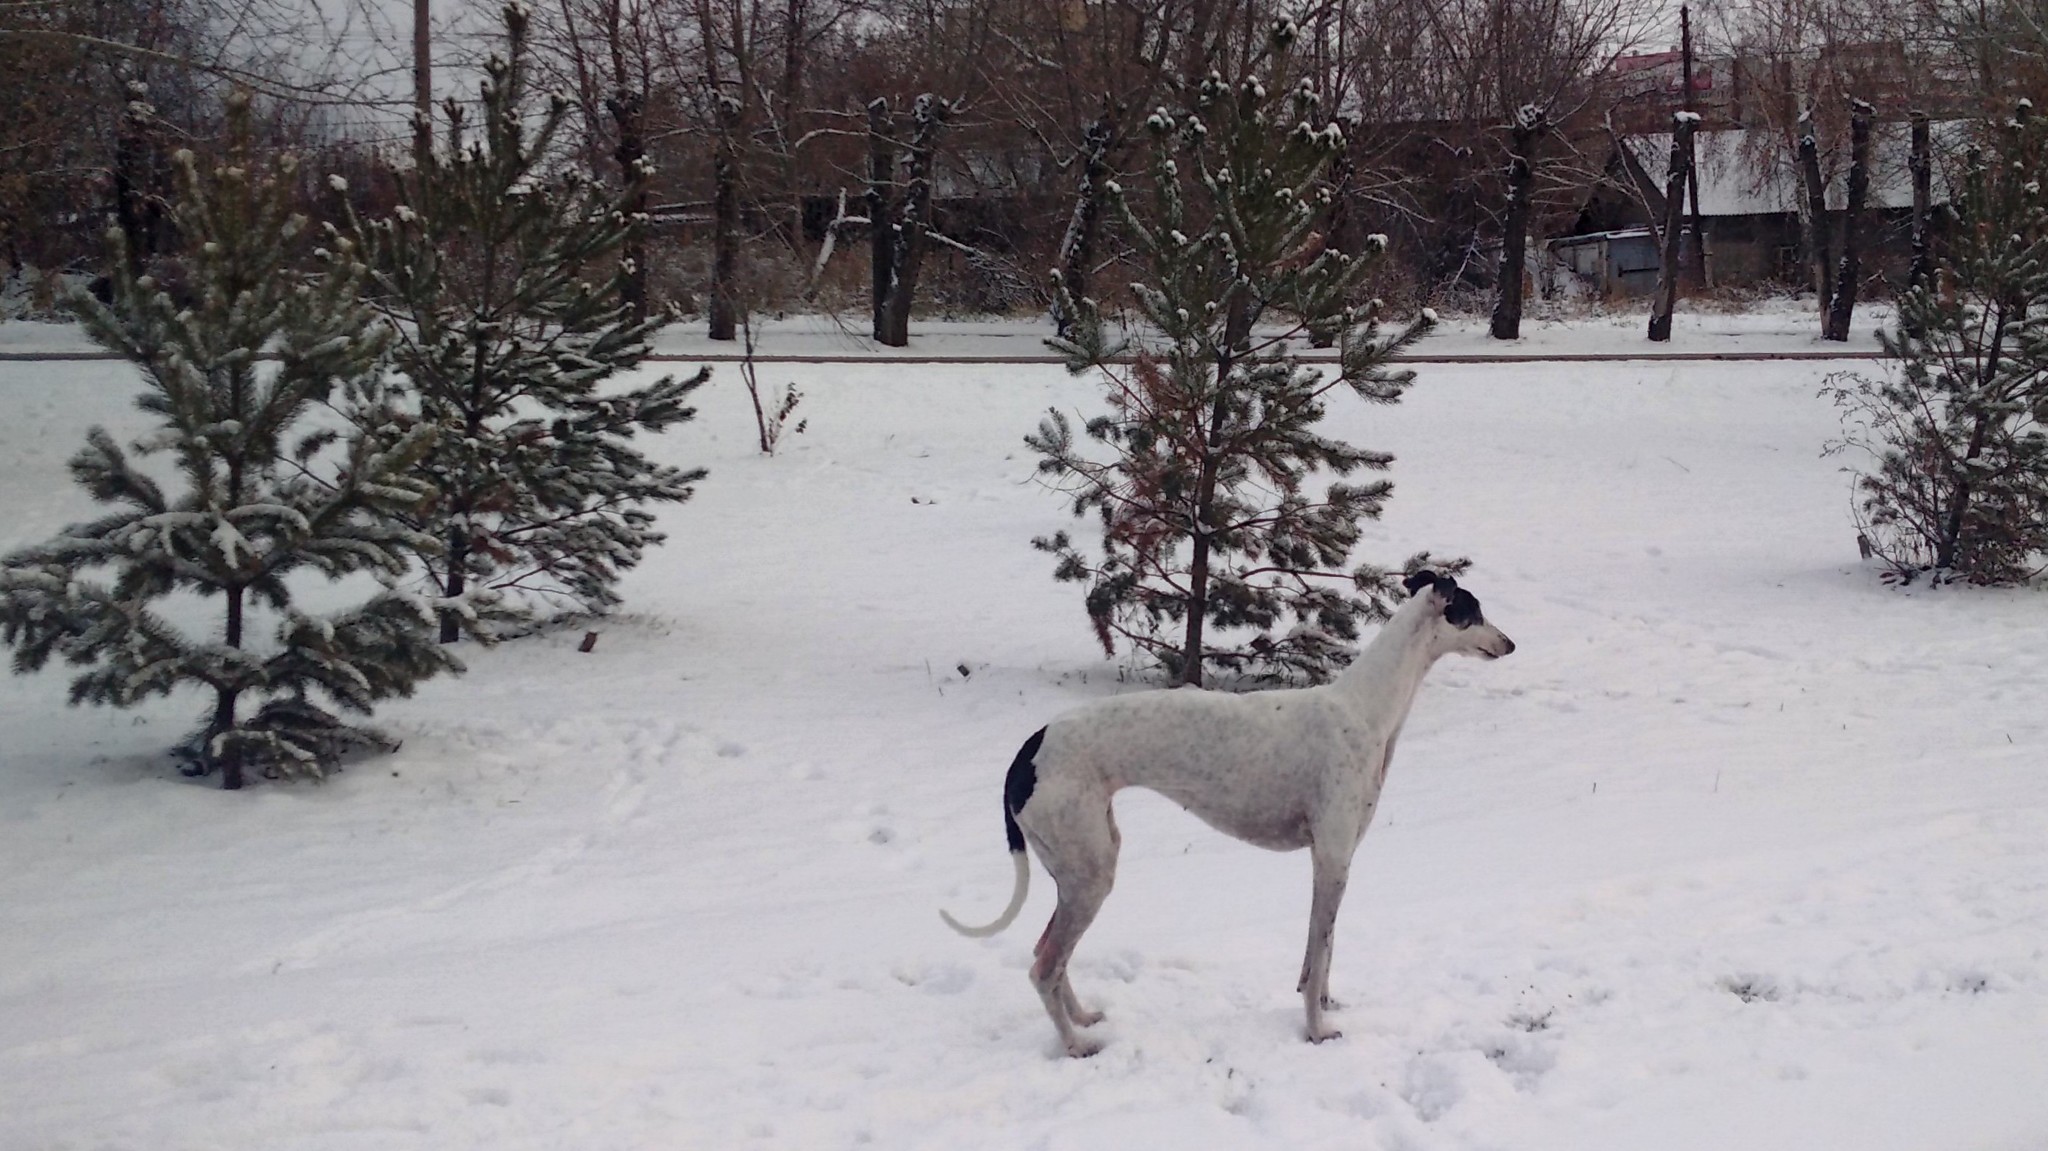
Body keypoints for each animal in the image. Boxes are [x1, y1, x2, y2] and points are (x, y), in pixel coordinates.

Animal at [937, 569, 1507, 1056]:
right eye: (1474, 611)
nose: (1510, 644)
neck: (1365, 709)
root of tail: (1030, 748)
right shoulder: (1332, 860)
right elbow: (1319, 952)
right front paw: (1317, 1031)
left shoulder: (1334, 860)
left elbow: (1319, 957)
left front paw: (1326, 1003)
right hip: (1089, 874)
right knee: (1044, 967)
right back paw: (1077, 1045)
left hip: (1084, 861)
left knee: (1048, 954)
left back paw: (1083, 1019)